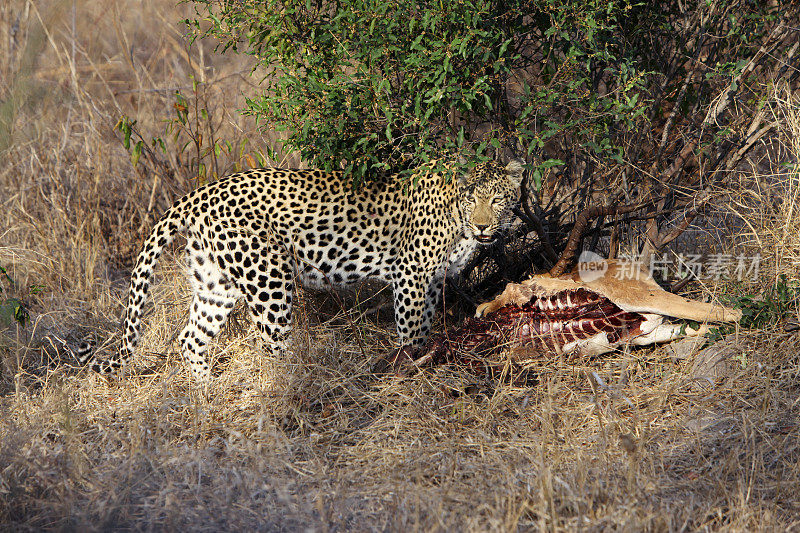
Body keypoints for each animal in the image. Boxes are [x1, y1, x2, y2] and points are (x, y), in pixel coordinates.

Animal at [75, 159, 524, 382]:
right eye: (473, 200)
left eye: (498, 198)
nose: (483, 226)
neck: (458, 221)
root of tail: (196, 194)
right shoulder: (411, 276)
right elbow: (412, 333)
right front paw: (413, 369)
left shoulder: (430, 283)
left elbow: (426, 327)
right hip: (269, 280)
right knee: (273, 345)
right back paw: (295, 382)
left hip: (216, 284)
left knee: (190, 339)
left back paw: (205, 391)